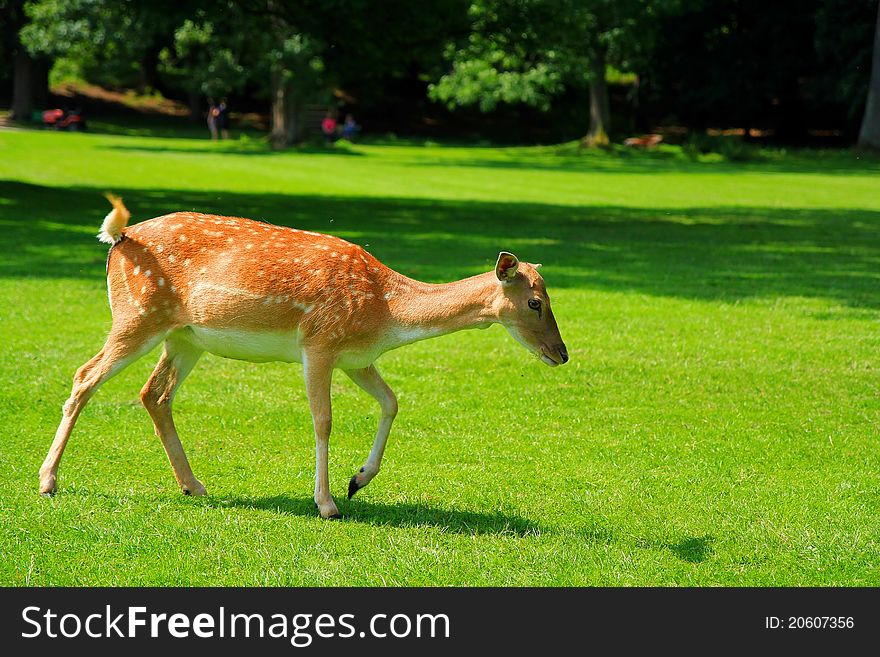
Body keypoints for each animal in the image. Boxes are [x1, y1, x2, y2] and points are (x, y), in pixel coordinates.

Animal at [37, 195, 568, 516]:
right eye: (535, 302)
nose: (561, 353)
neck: (386, 311)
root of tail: (117, 239)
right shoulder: (319, 344)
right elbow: (323, 419)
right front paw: (328, 503)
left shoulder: (358, 357)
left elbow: (392, 401)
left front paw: (358, 481)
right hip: (137, 315)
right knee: (85, 376)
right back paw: (48, 481)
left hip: (185, 337)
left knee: (154, 394)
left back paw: (194, 485)